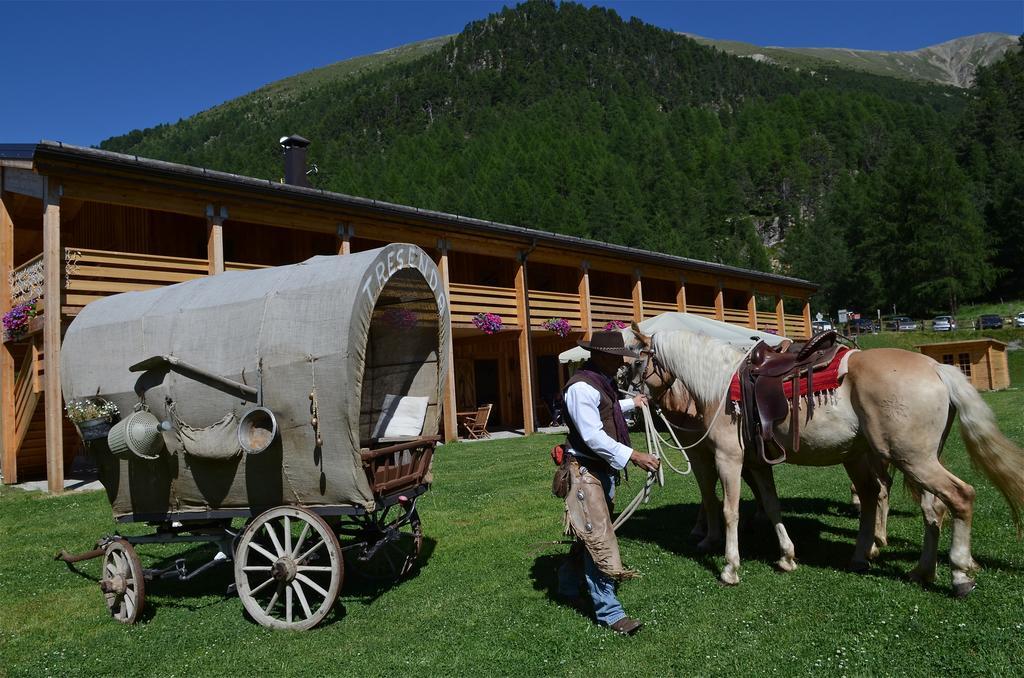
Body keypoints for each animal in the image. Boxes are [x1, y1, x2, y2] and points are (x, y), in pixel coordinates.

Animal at [622, 327, 1024, 598]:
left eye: (636, 361)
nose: (629, 396)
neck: (720, 387)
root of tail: (937, 367)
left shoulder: (728, 457)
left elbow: (729, 509)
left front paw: (730, 567)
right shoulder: (758, 463)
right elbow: (771, 505)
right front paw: (786, 557)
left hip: (912, 459)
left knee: (960, 497)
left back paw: (958, 575)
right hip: (909, 459)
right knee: (927, 508)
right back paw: (916, 569)